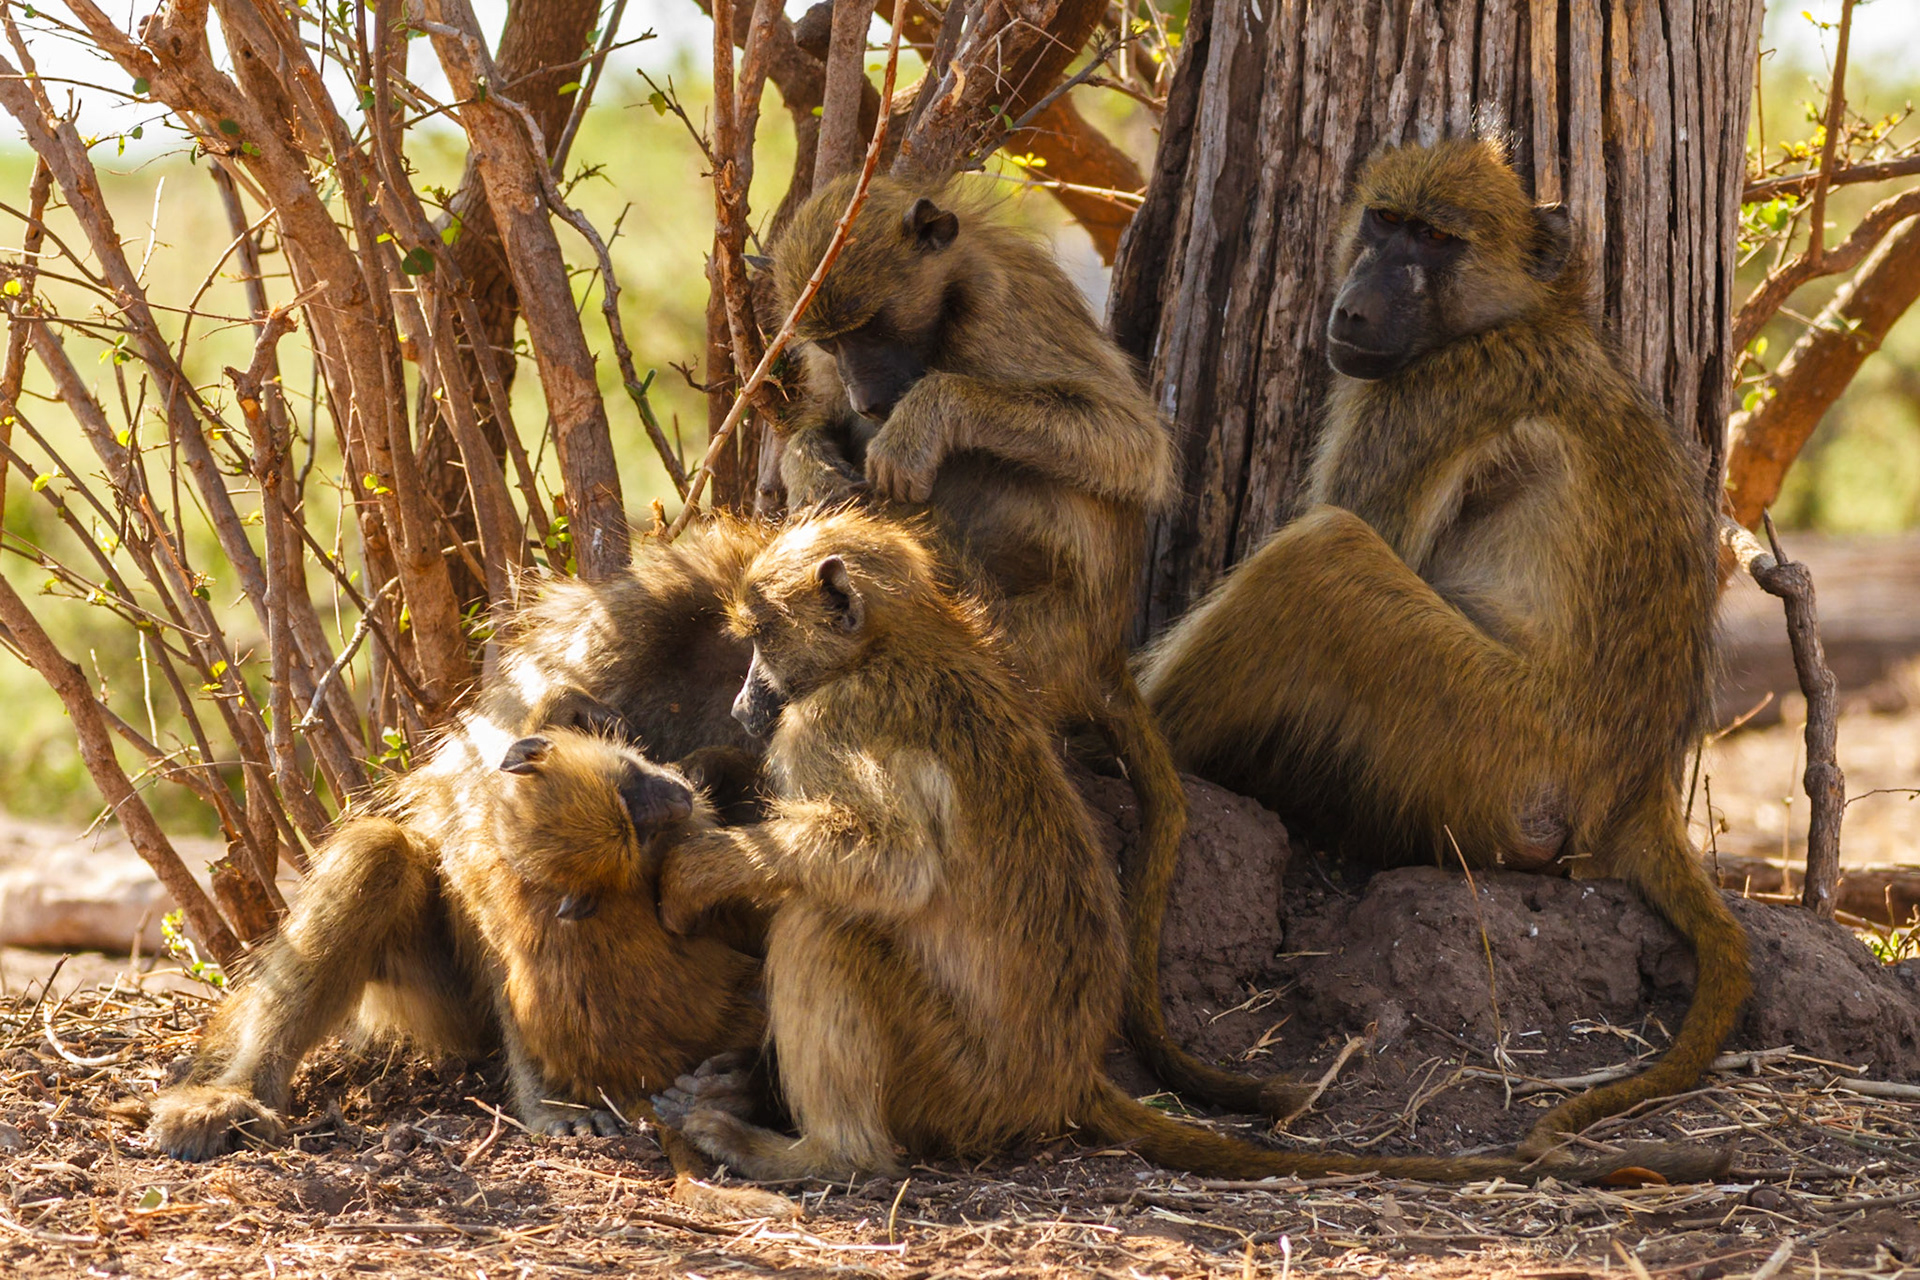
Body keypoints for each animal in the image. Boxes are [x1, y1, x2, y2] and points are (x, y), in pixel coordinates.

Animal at [647, 511, 1729, 1185]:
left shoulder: (827, 725)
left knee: (827, 927)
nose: (741, 705)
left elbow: (887, 861)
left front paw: (703, 861)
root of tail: (1069, 1074)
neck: (903, 643)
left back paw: (822, 1153)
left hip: (956, 1078)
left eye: (761, 638)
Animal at [761, 175, 1299, 1119]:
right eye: (832, 341)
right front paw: (814, 465)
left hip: (1037, 639)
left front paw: (920, 421)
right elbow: (811, 436)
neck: (947, 302)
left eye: (875, 327)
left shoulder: (1002, 316)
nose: (867, 396)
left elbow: (1132, 445)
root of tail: (1101, 658)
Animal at [1135, 136, 1750, 1160]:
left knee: (1323, 555)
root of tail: (1634, 791)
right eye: (1385, 222)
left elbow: (1359, 524)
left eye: (1434, 241)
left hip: (1488, 750)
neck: (1525, 313)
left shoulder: (1425, 399)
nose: (1355, 307)